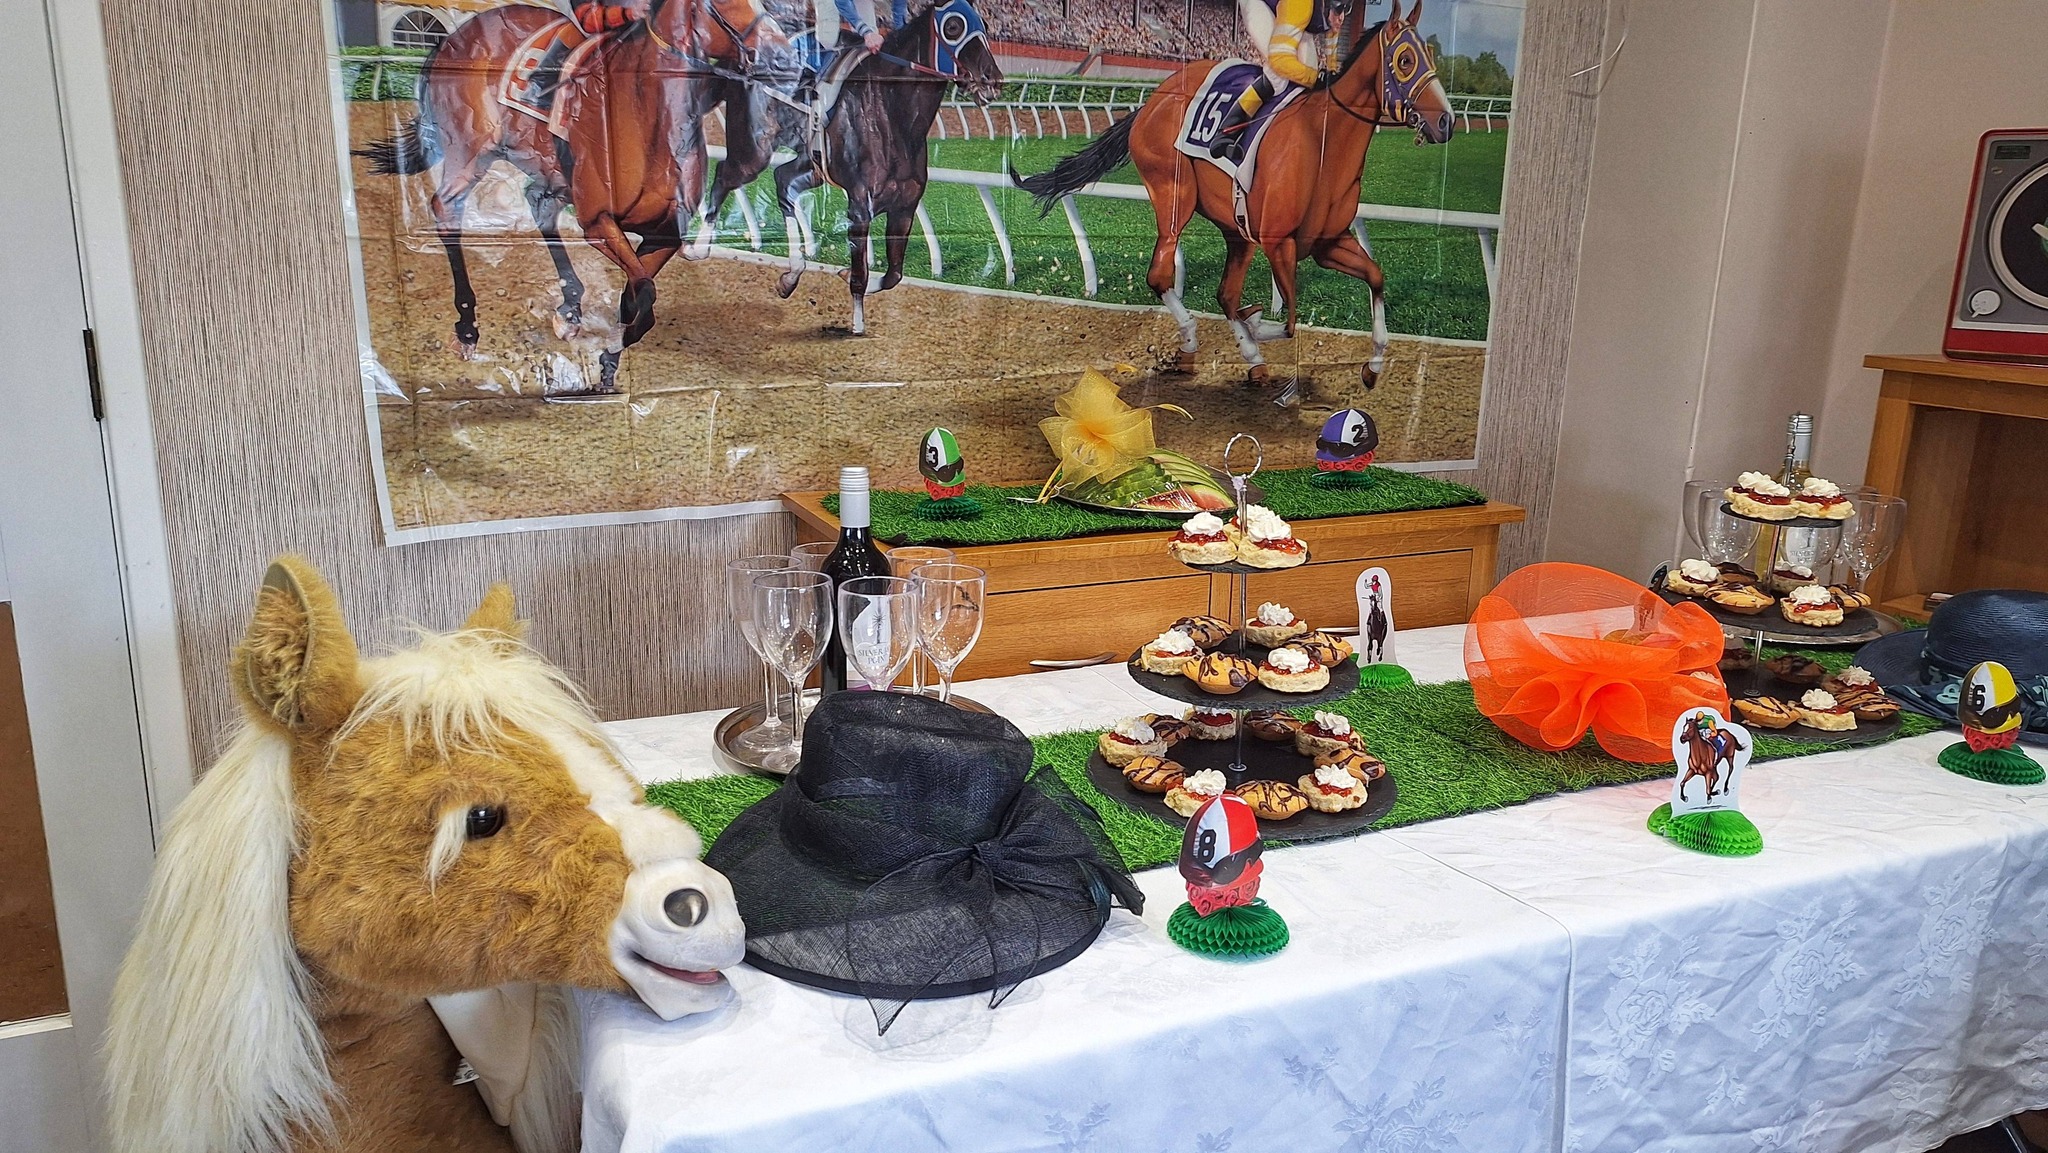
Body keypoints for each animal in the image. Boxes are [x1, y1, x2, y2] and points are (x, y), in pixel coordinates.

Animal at [357, 0, 798, 392]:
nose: (784, 57)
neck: (650, 115)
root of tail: (455, 37)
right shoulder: (598, 221)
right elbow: (643, 296)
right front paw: (612, 347)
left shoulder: (664, 234)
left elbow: (636, 293)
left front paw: (608, 359)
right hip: (471, 151)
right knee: (446, 209)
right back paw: (467, 330)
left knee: (538, 204)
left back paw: (568, 309)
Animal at [731, 0, 1003, 335]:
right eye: (953, 27)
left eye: (985, 26)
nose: (992, 80)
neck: (892, 115)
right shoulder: (860, 205)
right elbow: (861, 276)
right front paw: (857, 324)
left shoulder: (905, 206)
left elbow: (894, 274)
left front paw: (845, 273)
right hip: (758, 143)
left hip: (813, 164)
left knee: (783, 181)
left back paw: (790, 276)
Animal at [1013, 0, 1453, 390]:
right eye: (1405, 61)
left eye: (1431, 56)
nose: (1445, 122)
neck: (1321, 144)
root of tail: (1153, 100)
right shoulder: (1278, 243)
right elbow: (1289, 322)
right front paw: (1256, 322)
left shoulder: (1328, 243)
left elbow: (1375, 277)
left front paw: (1372, 367)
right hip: (1173, 194)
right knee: (1161, 275)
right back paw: (1193, 343)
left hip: (1235, 228)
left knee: (1224, 293)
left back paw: (1249, 360)